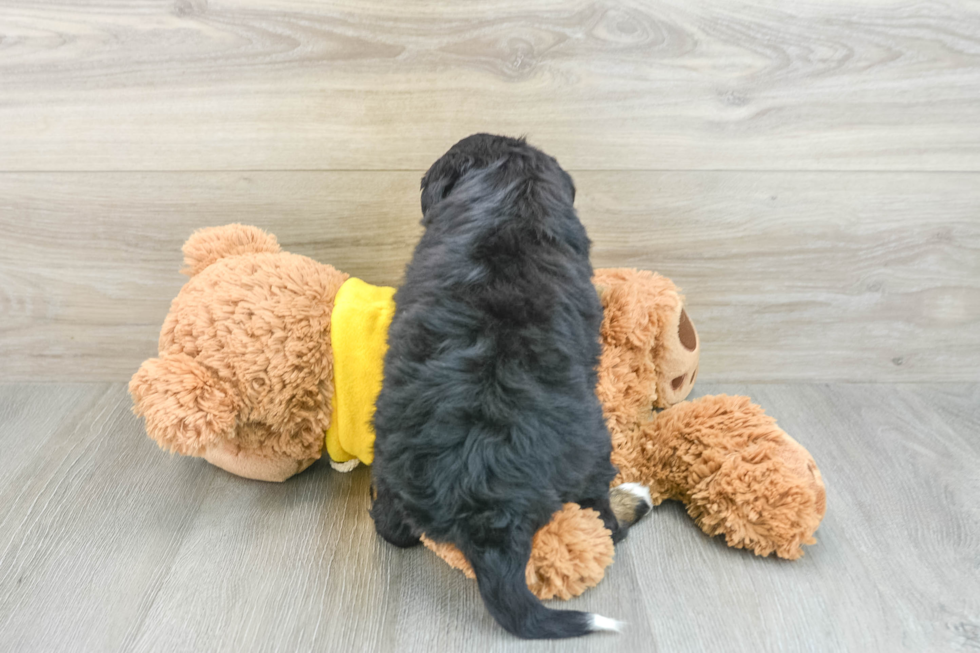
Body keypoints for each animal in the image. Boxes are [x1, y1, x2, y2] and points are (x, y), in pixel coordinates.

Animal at [372, 132, 648, 636]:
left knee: (392, 528)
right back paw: (633, 499)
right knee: (604, 523)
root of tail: (485, 514)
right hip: (593, 445)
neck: (513, 198)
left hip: (390, 459)